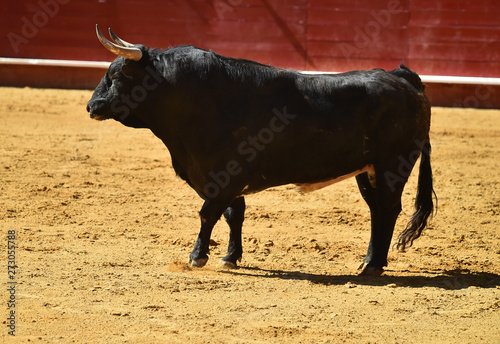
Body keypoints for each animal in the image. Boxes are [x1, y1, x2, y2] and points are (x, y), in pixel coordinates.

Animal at [88, 26, 436, 276]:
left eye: (117, 76)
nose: (91, 106)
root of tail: (403, 78)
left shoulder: (224, 176)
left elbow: (208, 213)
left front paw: (197, 257)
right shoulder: (227, 180)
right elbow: (233, 214)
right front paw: (230, 257)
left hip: (393, 165)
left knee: (389, 209)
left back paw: (374, 265)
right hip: (367, 171)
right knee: (377, 210)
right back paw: (368, 260)